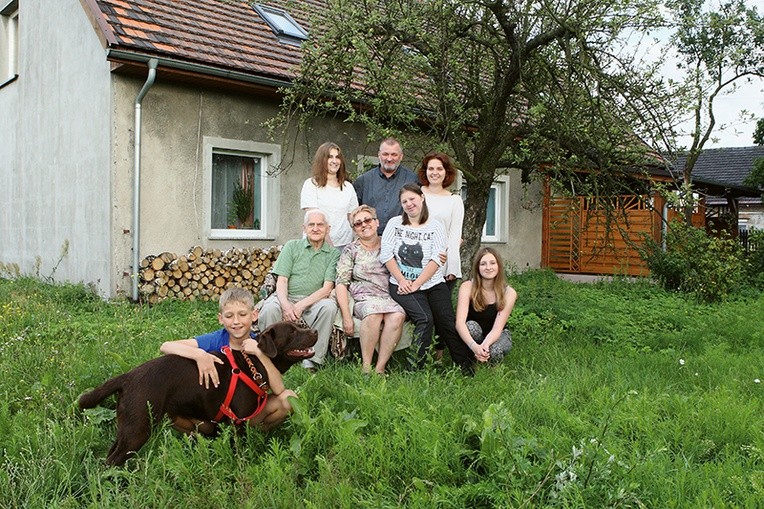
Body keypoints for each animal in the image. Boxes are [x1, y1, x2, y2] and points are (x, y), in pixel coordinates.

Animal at [78, 322, 316, 464]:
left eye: (301, 325)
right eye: (292, 332)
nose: (314, 331)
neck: (254, 363)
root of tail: (127, 376)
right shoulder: (237, 423)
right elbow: (239, 453)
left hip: (127, 427)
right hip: (138, 429)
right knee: (111, 461)